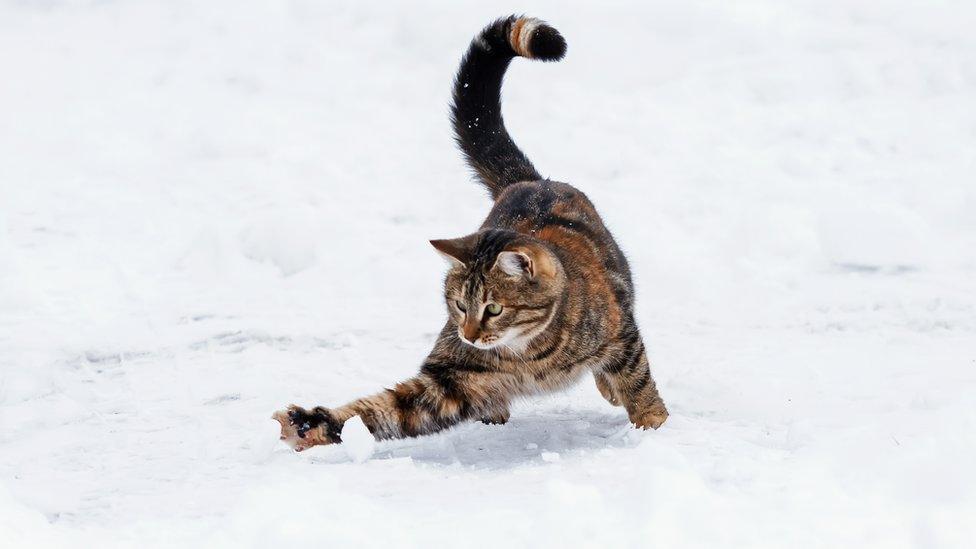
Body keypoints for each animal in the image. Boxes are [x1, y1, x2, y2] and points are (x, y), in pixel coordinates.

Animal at [276, 15, 672, 452]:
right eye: (459, 305)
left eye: (494, 308)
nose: (468, 336)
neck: (528, 354)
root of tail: (530, 182)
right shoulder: (450, 379)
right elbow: (382, 409)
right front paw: (314, 423)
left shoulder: (623, 336)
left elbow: (637, 380)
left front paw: (652, 423)